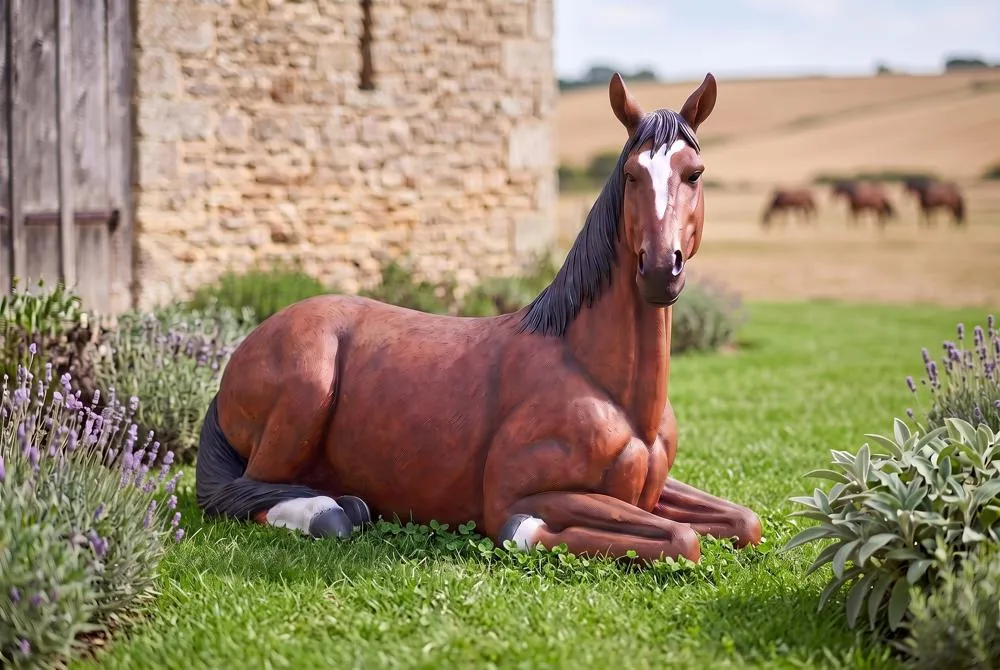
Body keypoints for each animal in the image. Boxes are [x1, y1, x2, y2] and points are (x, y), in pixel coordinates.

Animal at [194, 72, 762, 564]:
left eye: (694, 174)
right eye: (631, 174)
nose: (660, 269)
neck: (604, 384)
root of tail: (245, 349)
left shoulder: (652, 490)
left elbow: (743, 521)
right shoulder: (520, 492)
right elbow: (678, 538)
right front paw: (527, 532)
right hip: (304, 395)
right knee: (241, 492)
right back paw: (332, 512)